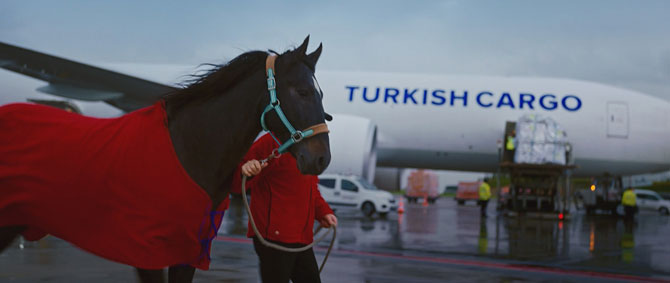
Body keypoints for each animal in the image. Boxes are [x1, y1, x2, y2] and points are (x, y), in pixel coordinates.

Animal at [0, 36, 332, 282]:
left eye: (321, 95)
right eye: (302, 91)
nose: (321, 159)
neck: (187, 150)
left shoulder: (188, 252)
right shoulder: (147, 252)